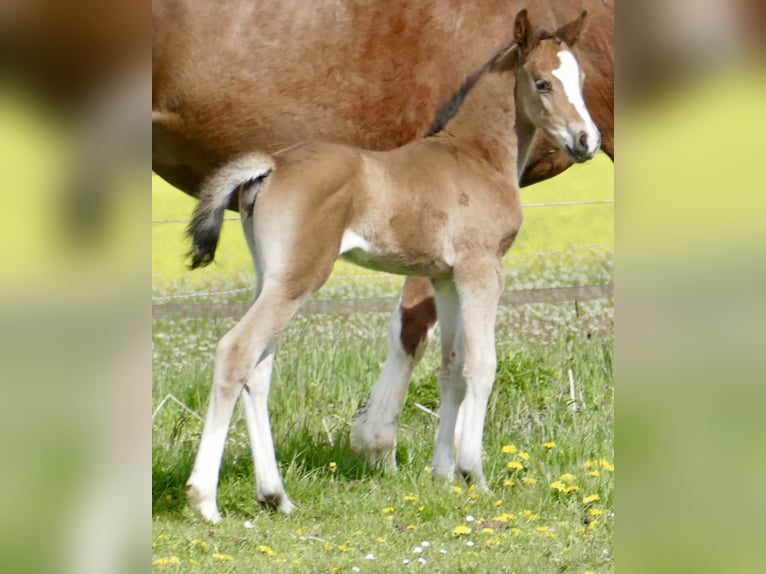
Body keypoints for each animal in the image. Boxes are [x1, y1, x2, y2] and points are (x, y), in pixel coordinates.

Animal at [152, 0, 614, 472]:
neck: (471, 155)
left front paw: (443, 473)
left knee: (259, 366)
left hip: (273, 277)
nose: (586, 140)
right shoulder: (481, 267)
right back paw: (205, 490)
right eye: (542, 83)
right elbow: (478, 363)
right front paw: (468, 469)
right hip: (299, 277)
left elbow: (451, 365)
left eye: (580, 80)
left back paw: (271, 486)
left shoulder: (446, 276)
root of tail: (270, 165)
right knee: (237, 351)